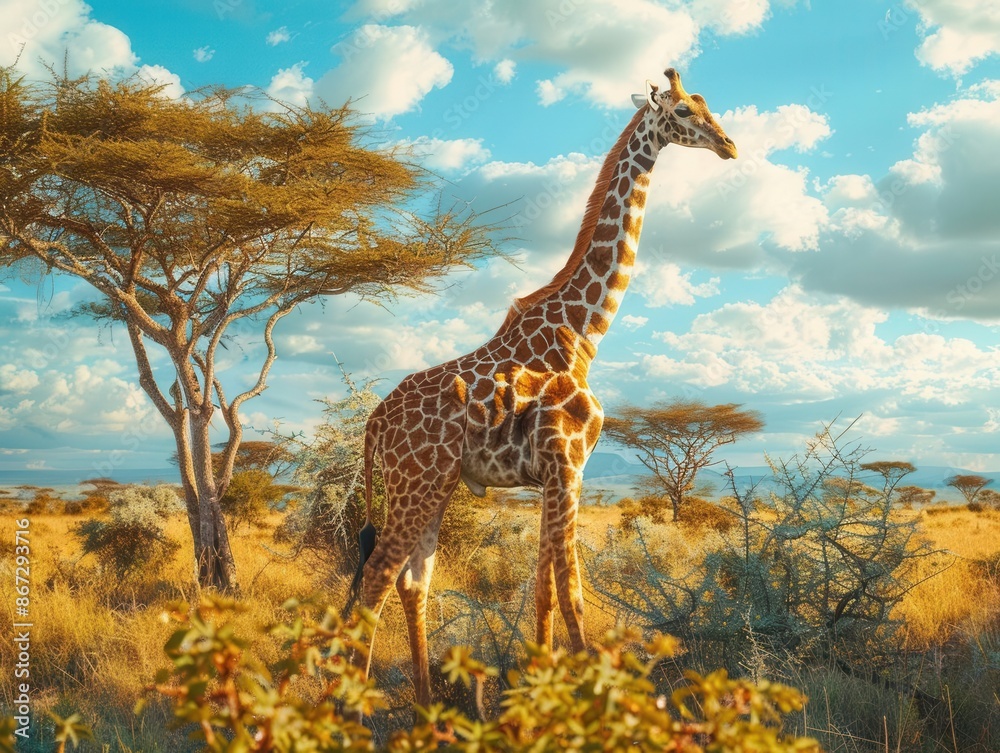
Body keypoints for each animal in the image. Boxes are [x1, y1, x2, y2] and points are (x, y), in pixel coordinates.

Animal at [343, 67, 737, 708]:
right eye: (683, 111)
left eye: (708, 106)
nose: (729, 145)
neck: (584, 331)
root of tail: (375, 421)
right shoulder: (567, 463)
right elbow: (572, 592)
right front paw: (591, 697)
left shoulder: (552, 474)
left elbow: (545, 589)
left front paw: (543, 684)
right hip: (416, 487)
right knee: (376, 580)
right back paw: (349, 709)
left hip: (433, 488)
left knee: (412, 582)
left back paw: (426, 706)